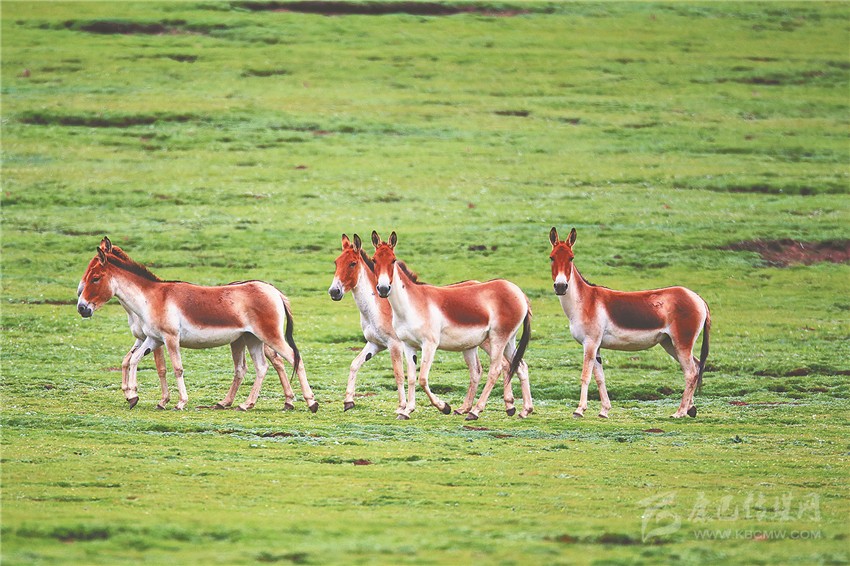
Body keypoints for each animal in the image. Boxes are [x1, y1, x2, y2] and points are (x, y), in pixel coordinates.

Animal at [76, 237, 317, 412]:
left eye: (95, 278)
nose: (81, 307)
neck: (152, 297)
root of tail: (273, 290)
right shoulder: (153, 339)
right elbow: (132, 360)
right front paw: (133, 396)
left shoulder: (170, 338)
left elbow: (176, 368)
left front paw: (179, 402)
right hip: (252, 339)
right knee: (262, 367)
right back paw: (246, 404)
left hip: (269, 336)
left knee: (294, 358)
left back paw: (311, 402)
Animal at [328, 234, 513, 419]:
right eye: (336, 262)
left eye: (352, 263)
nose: (334, 292)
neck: (378, 307)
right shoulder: (375, 344)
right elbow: (355, 364)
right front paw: (348, 401)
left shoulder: (395, 344)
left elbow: (399, 375)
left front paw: (402, 406)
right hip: (471, 343)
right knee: (484, 369)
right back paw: (471, 408)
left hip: (488, 340)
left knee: (504, 364)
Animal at [370, 231, 533, 420]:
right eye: (374, 259)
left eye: (393, 260)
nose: (383, 289)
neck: (411, 304)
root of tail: (518, 292)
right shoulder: (408, 345)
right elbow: (411, 378)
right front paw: (407, 410)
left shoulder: (429, 344)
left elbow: (422, 378)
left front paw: (444, 407)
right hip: (509, 340)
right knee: (520, 366)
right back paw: (525, 410)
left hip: (498, 338)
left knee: (496, 370)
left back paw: (475, 411)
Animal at [548, 227, 711, 418]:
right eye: (552, 257)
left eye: (571, 258)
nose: (560, 287)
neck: (585, 301)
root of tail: (698, 298)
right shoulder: (596, 345)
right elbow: (600, 377)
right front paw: (604, 410)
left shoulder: (590, 343)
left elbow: (585, 376)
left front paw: (579, 410)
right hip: (670, 343)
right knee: (696, 367)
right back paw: (691, 409)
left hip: (681, 342)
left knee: (691, 372)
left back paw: (679, 412)